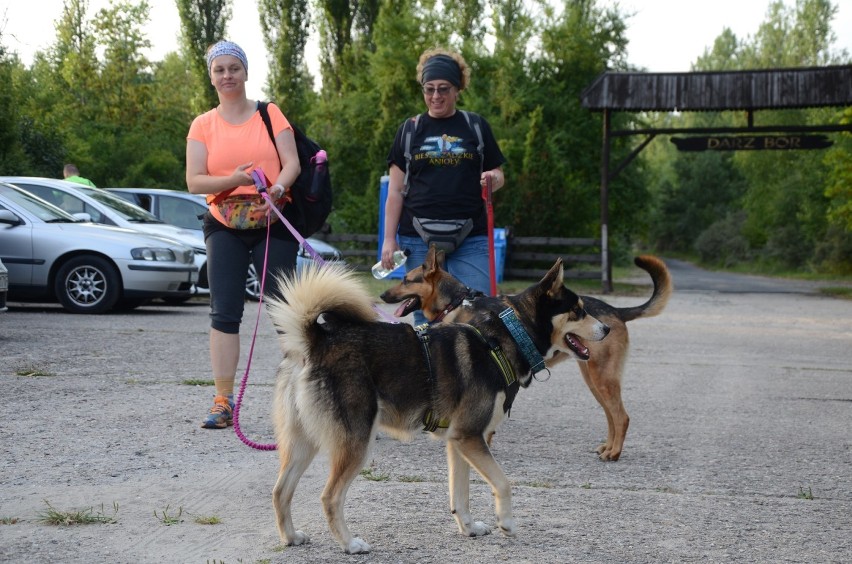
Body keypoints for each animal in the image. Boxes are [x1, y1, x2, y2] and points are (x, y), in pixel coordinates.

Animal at [266, 260, 612, 556]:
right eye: (578, 311)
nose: (607, 329)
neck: (506, 338)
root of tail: (315, 342)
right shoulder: (471, 437)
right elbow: (503, 483)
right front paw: (507, 522)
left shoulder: (459, 441)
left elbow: (460, 494)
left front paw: (469, 528)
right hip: (356, 443)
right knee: (330, 497)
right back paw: (349, 544)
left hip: (303, 443)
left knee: (280, 491)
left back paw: (290, 537)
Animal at [382, 249, 672, 460]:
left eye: (405, 279)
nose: (383, 294)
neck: (457, 303)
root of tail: (616, 311)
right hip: (595, 380)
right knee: (612, 415)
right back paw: (608, 447)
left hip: (602, 377)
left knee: (621, 416)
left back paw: (614, 453)